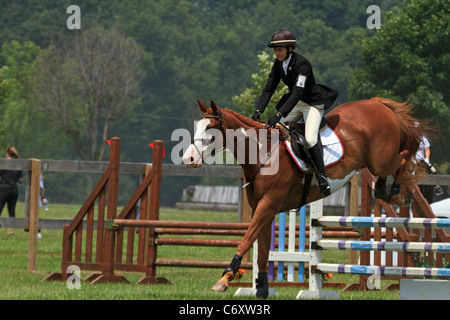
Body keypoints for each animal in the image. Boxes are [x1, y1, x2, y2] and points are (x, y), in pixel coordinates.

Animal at [181, 97, 424, 298]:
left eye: (210, 130)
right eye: (197, 127)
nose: (188, 159)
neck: (262, 154)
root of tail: (377, 103)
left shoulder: (267, 205)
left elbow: (246, 239)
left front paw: (225, 278)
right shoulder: (265, 209)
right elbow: (261, 251)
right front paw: (262, 289)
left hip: (381, 160)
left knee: (404, 156)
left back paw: (395, 193)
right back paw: (387, 191)